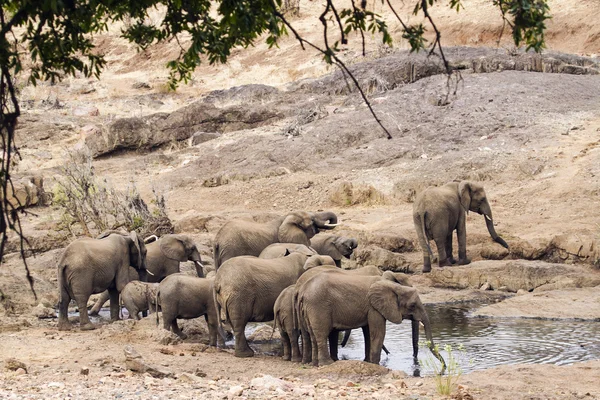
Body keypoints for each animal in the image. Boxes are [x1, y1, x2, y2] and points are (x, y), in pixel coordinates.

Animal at [296, 268, 446, 368]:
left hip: (310, 308)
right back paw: (327, 364)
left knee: (313, 334)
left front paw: (368, 362)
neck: (391, 284)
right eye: (412, 305)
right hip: (318, 306)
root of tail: (303, 291)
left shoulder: (371, 308)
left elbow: (369, 333)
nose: (444, 367)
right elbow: (377, 333)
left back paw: (315, 364)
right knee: (321, 333)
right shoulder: (374, 307)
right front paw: (375, 364)